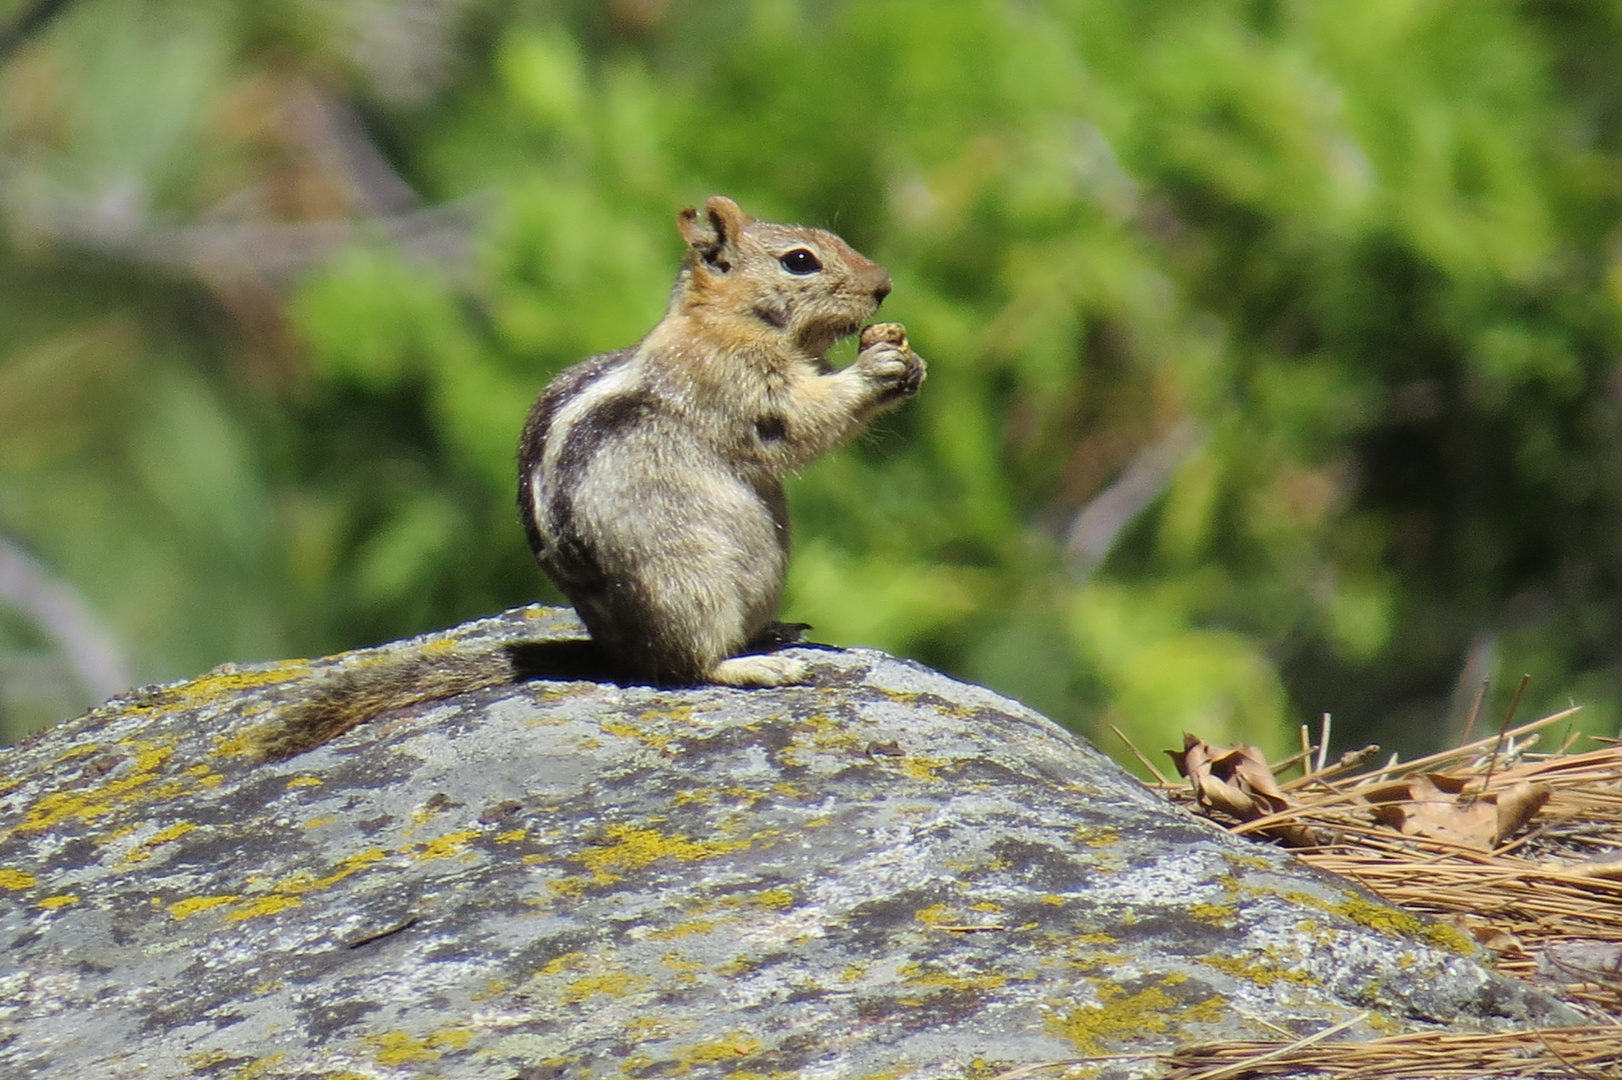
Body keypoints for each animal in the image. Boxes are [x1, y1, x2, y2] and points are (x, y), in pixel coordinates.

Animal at [261, 199, 934, 755]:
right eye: (800, 261)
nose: (884, 285)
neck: (725, 320)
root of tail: (614, 654)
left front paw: (907, 360)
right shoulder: (736, 383)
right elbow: (799, 421)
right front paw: (878, 366)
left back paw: (774, 632)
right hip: (689, 586)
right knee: (684, 669)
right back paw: (752, 667)